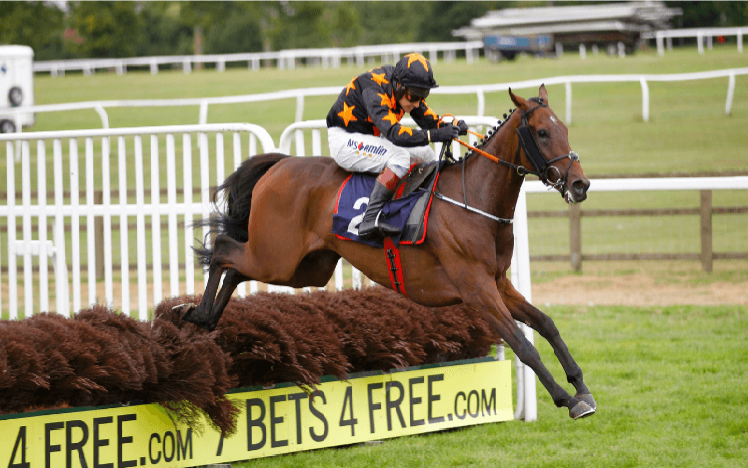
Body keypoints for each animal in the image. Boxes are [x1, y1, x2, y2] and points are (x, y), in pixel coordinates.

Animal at [180, 85, 596, 420]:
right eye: (542, 132)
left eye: (564, 129)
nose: (581, 184)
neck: (473, 200)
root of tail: (281, 164)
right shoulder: (476, 290)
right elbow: (523, 345)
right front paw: (567, 399)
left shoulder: (498, 283)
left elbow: (546, 324)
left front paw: (582, 388)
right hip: (278, 258)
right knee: (224, 249)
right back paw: (195, 313)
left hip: (304, 268)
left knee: (237, 267)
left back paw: (207, 318)